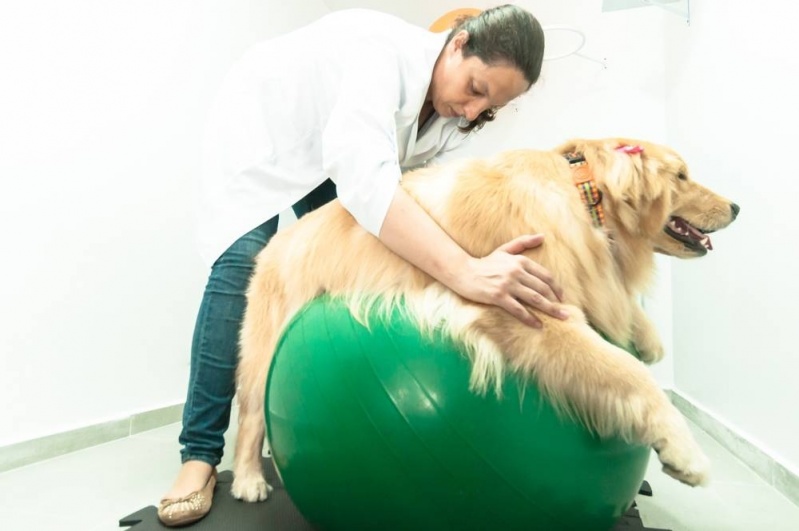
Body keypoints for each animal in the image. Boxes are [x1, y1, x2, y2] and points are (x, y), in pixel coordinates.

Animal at [230, 137, 736, 502]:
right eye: (682, 176)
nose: (736, 208)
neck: (580, 195)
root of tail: (276, 242)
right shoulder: (531, 308)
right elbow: (627, 372)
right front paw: (684, 450)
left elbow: (620, 310)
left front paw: (647, 336)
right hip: (263, 348)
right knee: (252, 414)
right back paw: (249, 479)